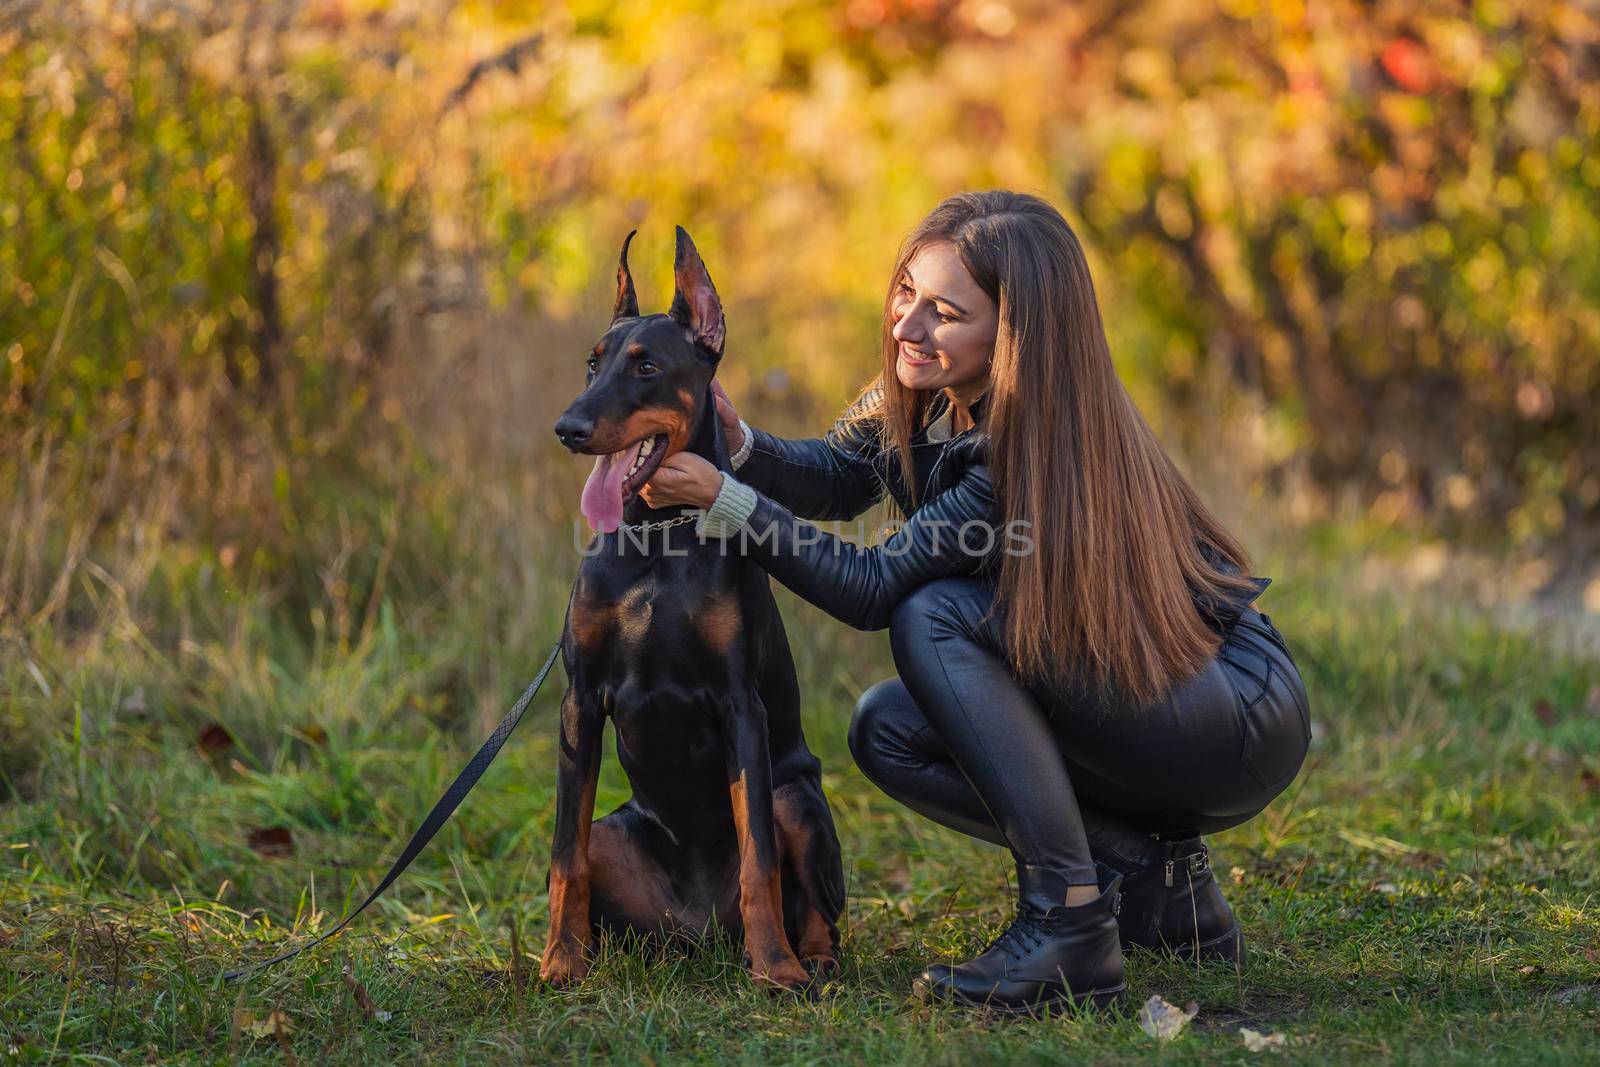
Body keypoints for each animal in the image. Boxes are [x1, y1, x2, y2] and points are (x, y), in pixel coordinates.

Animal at [547, 225, 851, 991]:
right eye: (592, 363)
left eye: (647, 366)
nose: (567, 427)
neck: (660, 539)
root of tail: (702, 927)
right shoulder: (579, 701)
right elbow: (563, 853)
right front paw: (558, 959)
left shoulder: (742, 704)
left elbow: (759, 860)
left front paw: (775, 968)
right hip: (619, 836)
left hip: (796, 796)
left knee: (815, 904)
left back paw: (809, 959)